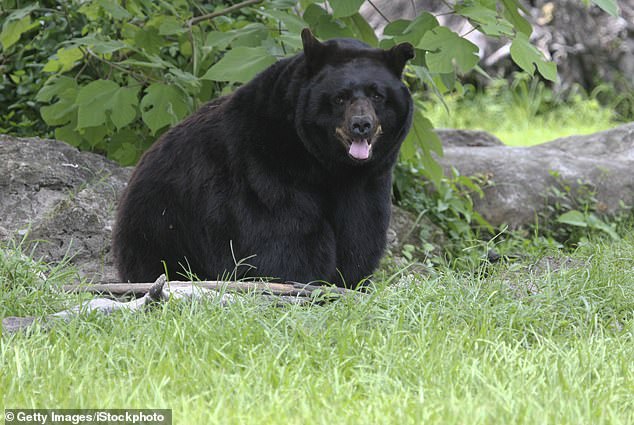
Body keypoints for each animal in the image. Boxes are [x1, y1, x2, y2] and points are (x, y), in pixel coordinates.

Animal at [113, 29, 414, 288]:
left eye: (378, 95)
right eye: (340, 97)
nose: (361, 124)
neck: (326, 164)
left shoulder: (369, 181)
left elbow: (360, 233)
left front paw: (349, 278)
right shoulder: (265, 166)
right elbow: (283, 236)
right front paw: (303, 278)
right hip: (162, 226)